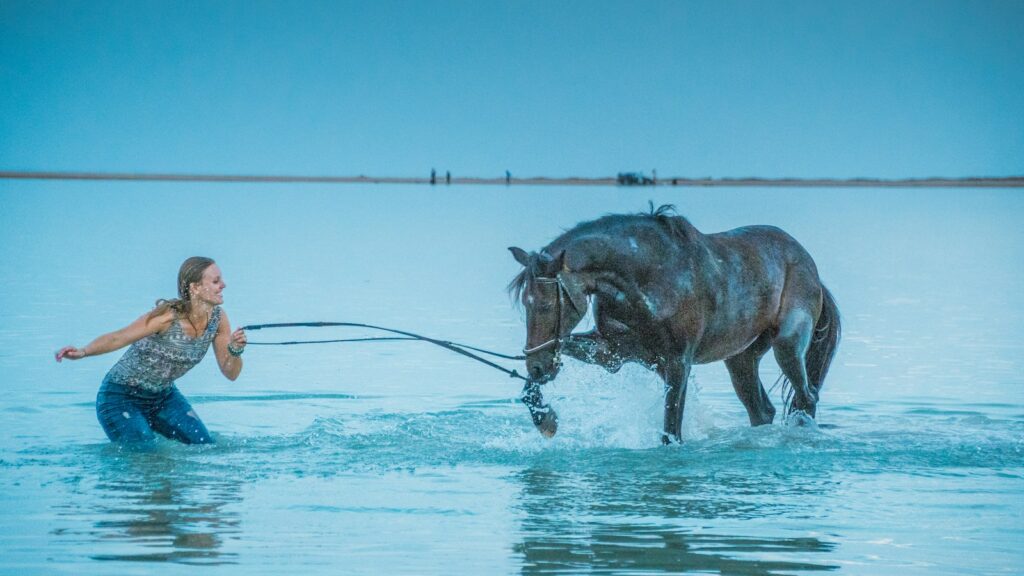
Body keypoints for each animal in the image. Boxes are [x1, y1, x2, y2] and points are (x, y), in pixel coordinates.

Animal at [508, 204, 840, 444]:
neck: (645, 277)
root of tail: (808, 263)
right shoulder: (611, 352)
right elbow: (544, 371)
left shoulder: (678, 362)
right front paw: (546, 420)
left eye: (546, 305)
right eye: (525, 303)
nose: (536, 366)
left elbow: (671, 432)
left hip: (788, 344)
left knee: (807, 397)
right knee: (762, 410)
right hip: (741, 358)